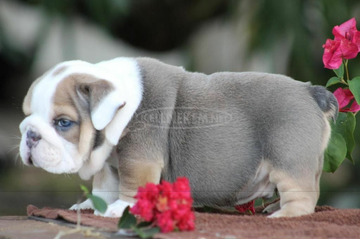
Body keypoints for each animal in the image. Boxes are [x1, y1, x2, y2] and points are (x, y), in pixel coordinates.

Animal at [19, 57, 338, 218]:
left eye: (63, 123)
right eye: (26, 115)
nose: (30, 134)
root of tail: (310, 91)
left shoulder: (139, 157)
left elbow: (132, 183)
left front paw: (122, 207)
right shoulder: (110, 161)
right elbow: (105, 184)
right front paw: (91, 205)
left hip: (290, 158)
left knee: (303, 197)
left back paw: (284, 214)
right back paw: (275, 206)